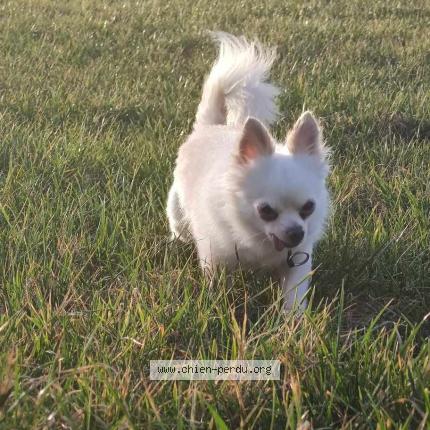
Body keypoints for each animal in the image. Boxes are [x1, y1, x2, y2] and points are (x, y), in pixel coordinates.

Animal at [166, 32, 330, 311]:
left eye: (309, 208)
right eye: (266, 211)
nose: (296, 232)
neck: (260, 241)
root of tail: (211, 127)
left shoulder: (298, 260)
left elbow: (294, 294)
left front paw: (293, 318)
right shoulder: (215, 255)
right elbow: (216, 285)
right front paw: (218, 308)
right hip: (177, 209)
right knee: (180, 226)